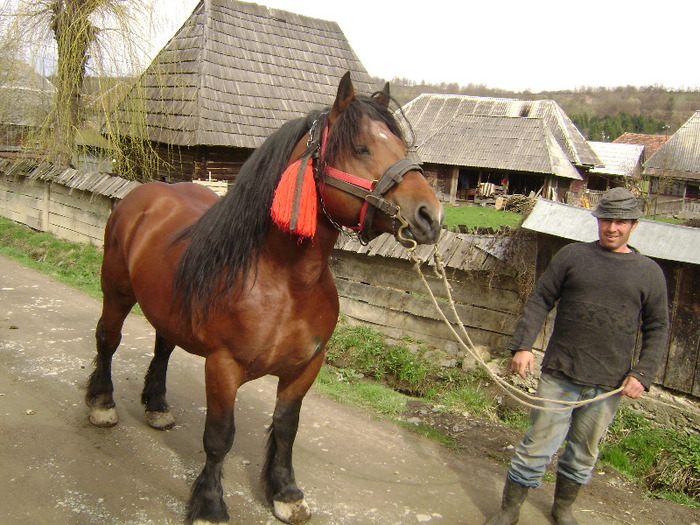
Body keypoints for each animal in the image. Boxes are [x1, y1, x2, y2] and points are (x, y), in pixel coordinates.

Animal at [85, 71, 440, 520]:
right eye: (361, 147)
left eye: (401, 146)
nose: (430, 216)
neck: (286, 282)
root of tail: (142, 194)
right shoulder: (223, 366)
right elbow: (219, 436)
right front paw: (209, 504)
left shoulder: (305, 367)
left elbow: (287, 429)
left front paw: (285, 493)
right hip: (115, 292)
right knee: (108, 340)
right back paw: (101, 404)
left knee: (162, 347)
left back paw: (158, 406)